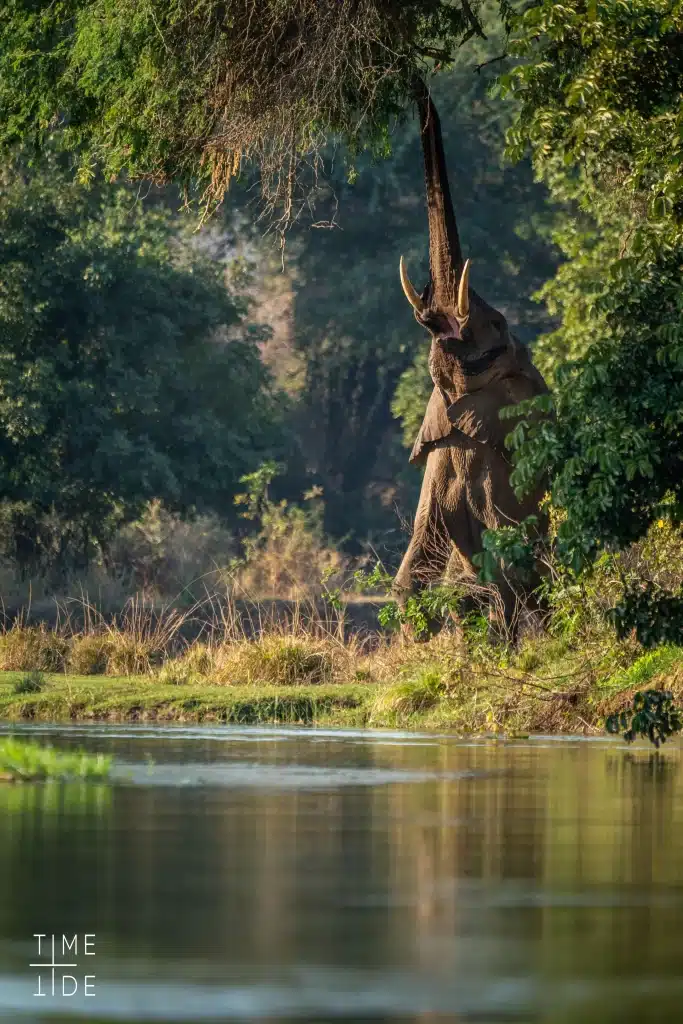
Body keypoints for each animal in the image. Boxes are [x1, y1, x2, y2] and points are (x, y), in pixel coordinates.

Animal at [393, 81, 548, 638]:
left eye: (498, 326)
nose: (419, 81)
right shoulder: (440, 455)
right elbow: (412, 574)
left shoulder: (504, 462)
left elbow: (507, 558)